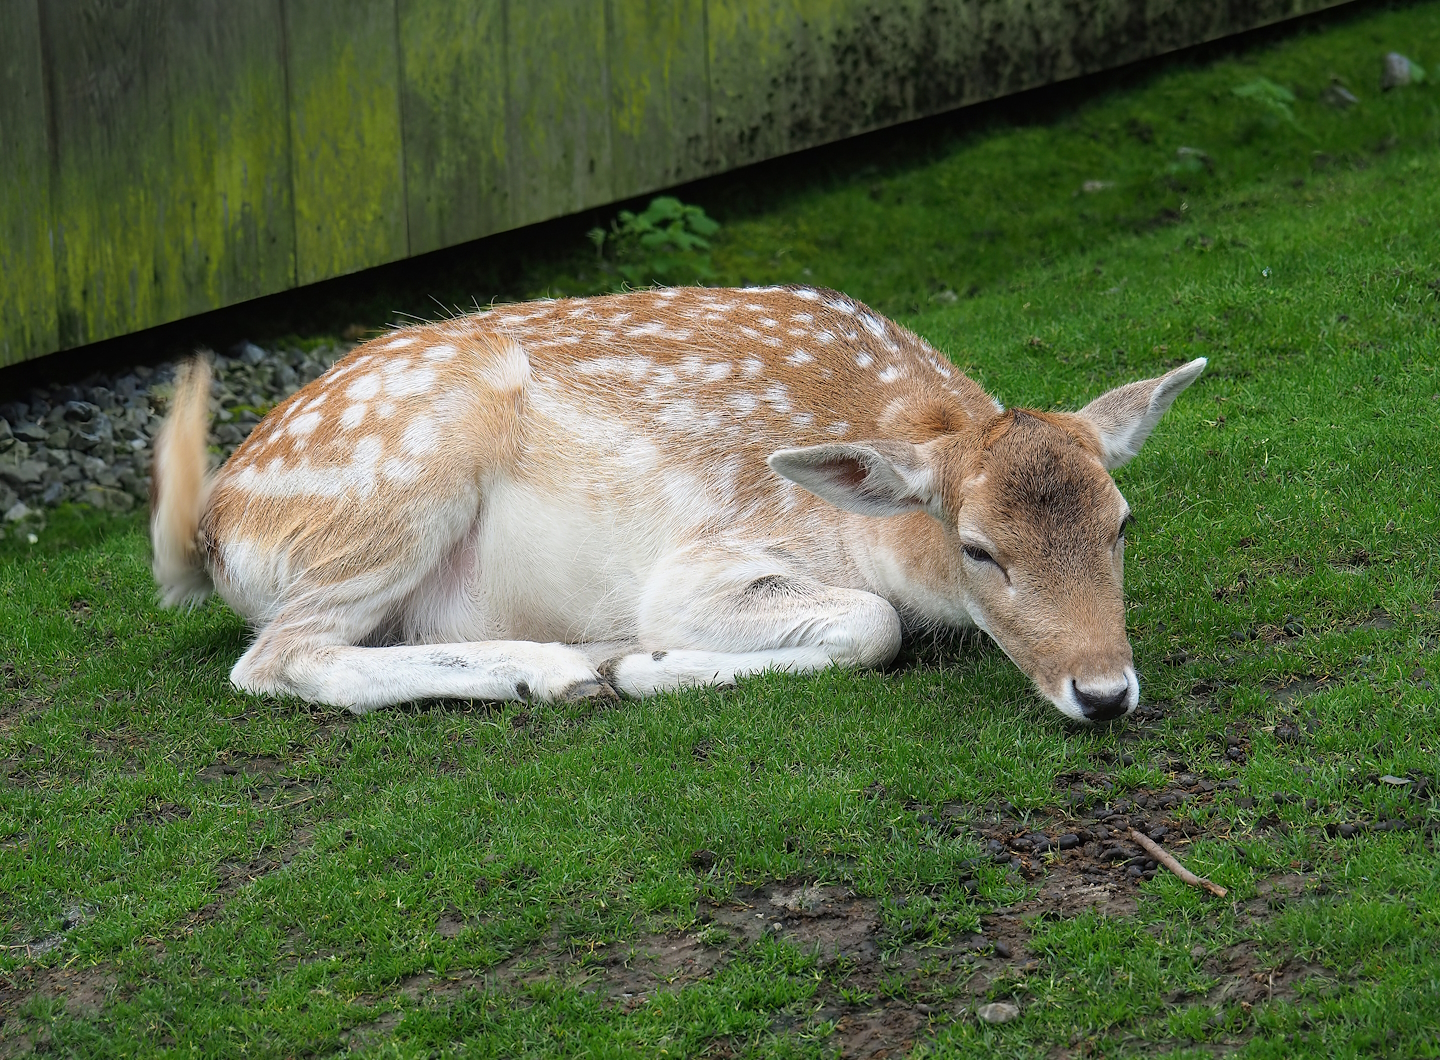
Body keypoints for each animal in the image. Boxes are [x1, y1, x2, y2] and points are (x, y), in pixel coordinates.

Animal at [151, 285, 1204, 723]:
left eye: (1123, 524)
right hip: (395, 486)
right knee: (279, 659)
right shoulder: (708, 559)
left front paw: (639, 662)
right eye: (980, 549)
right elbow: (874, 625)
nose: (1104, 692)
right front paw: (649, 666)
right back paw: (563, 672)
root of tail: (212, 531)